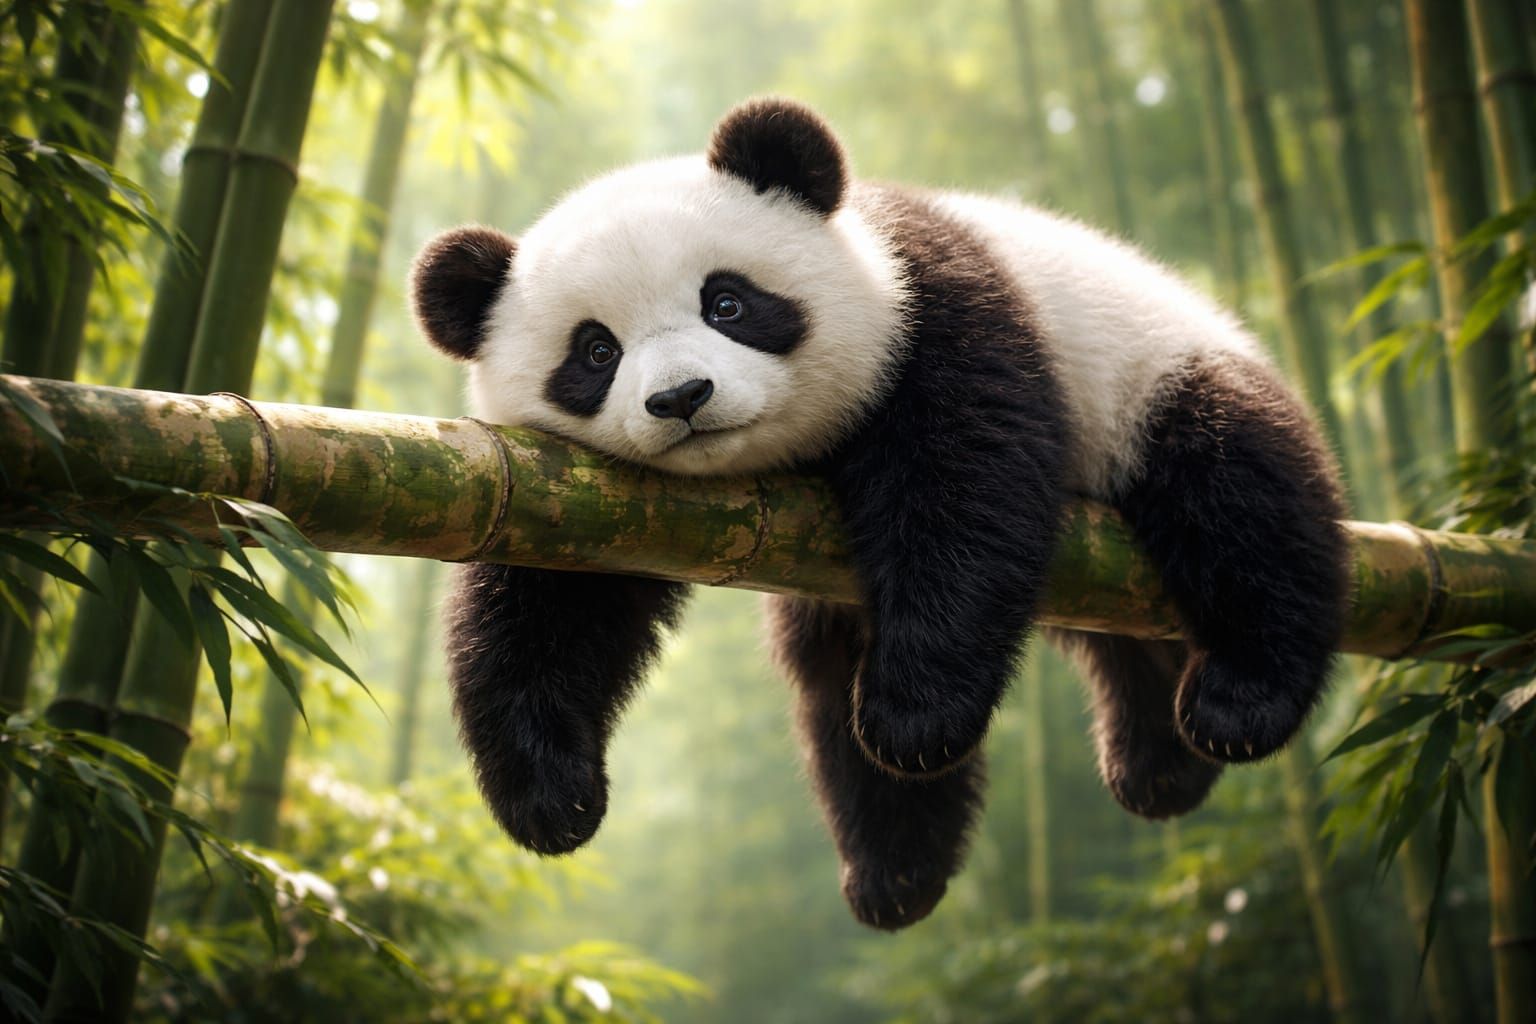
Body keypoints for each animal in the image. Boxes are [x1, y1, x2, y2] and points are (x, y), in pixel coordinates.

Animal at [411, 97, 1349, 930]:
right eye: (595, 351)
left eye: (728, 303)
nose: (681, 397)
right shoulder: (571, 497)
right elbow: (549, 606)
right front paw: (553, 795)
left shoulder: (933, 310)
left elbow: (964, 482)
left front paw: (915, 716)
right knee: (837, 675)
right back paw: (948, 848)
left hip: (1152, 375)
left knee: (1239, 493)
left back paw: (1234, 704)